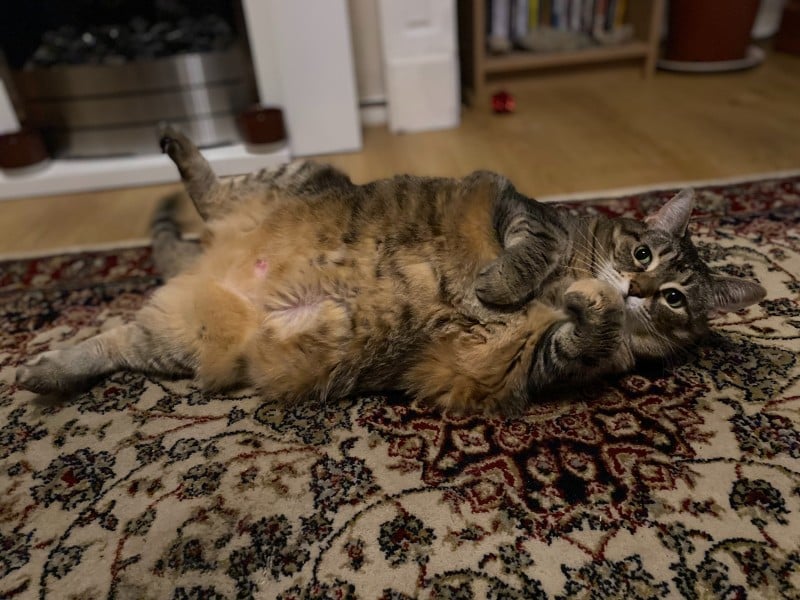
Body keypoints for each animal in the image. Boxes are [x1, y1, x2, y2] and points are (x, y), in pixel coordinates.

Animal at [14, 127, 764, 418]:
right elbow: (527, 251)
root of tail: (210, 257)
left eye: (675, 298)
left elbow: (583, 325)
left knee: (108, 345)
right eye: (644, 256)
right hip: (296, 177)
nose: (638, 288)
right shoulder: (520, 210)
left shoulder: (543, 360)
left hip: (172, 339)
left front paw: (586, 301)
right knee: (209, 192)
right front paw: (507, 283)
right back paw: (178, 145)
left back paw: (40, 371)